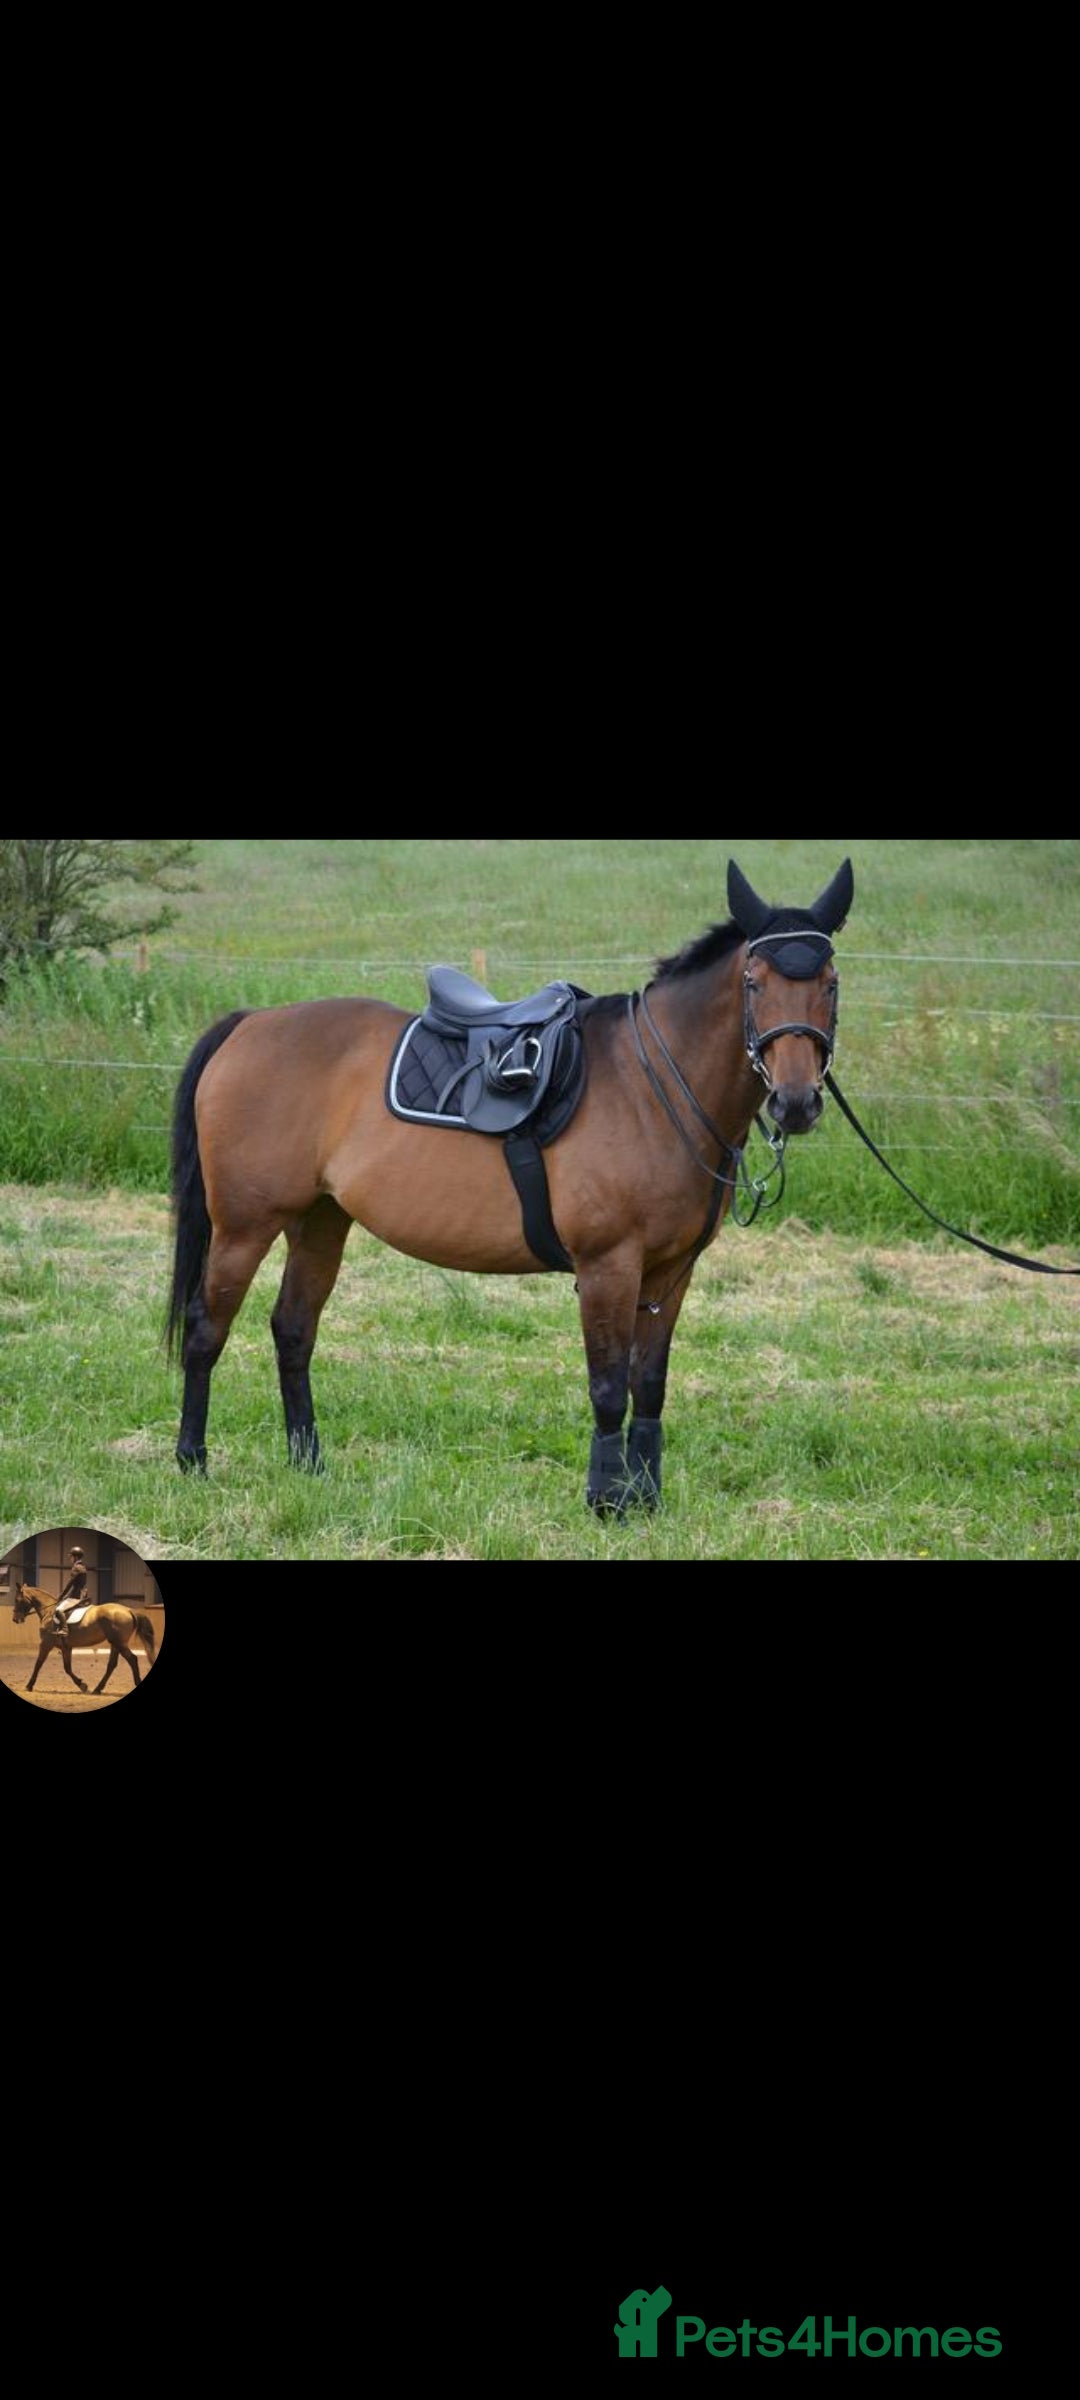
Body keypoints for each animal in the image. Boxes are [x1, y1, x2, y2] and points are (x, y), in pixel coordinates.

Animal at [12, 1585, 158, 1694]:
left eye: (17, 1600)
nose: (15, 1619)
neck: (49, 1611)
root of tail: (128, 1610)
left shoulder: (46, 1644)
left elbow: (38, 1664)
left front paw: (29, 1685)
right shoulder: (66, 1647)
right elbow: (67, 1668)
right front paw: (82, 1685)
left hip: (120, 1643)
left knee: (132, 1659)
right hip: (115, 1643)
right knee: (112, 1664)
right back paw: (97, 1689)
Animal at [165, 855, 853, 1513]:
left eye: (830, 983)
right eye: (754, 982)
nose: (796, 1102)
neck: (652, 1086)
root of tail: (250, 1024)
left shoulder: (670, 1273)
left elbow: (649, 1386)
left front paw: (646, 1498)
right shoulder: (608, 1266)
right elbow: (609, 1388)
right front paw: (607, 1502)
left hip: (320, 1221)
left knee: (293, 1329)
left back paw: (308, 1462)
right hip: (244, 1226)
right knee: (206, 1328)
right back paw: (192, 1459)